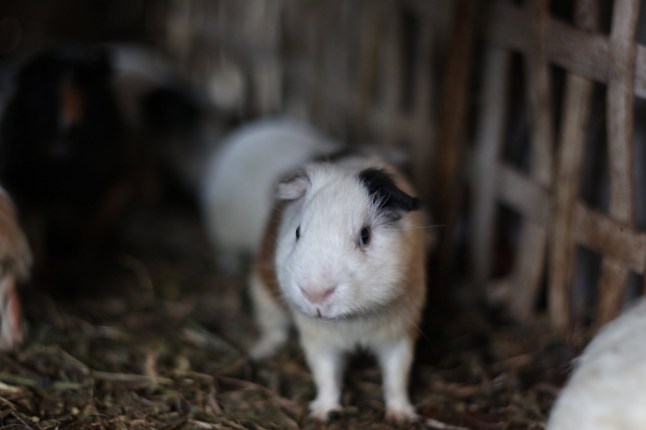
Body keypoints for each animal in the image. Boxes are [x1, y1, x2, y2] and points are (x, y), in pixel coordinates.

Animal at [249, 155, 428, 423]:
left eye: (365, 235)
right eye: (298, 232)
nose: (315, 294)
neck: (353, 321)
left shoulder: (399, 336)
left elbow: (396, 377)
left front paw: (401, 417)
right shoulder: (319, 342)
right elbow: (326, 376)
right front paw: (323, 414)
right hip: (264, 302)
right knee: (274, 333)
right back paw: (259, 353)